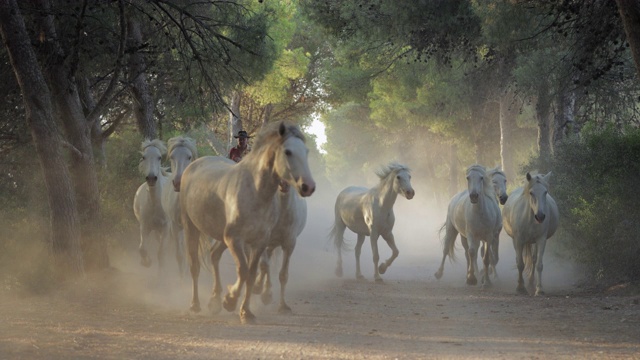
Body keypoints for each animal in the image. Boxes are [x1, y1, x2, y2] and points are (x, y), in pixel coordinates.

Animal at [132, 140, 169, 270]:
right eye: (144, 157)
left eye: (159, 157)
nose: (152, 178)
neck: (154, 203)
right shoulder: (144, 226)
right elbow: (142, 248)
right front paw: (146, 262)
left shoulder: (165, 227)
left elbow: (161, 252)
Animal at [180, 121, 316, 324]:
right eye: (288, 152)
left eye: (306, 151)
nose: (308, 186)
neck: (255, 192)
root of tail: (193, 165)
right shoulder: (236, 240)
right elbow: (243, 271)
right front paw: (230, 300)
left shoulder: (260, 242)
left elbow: (253, 274)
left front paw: (246, 311)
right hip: (191, 227)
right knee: (194, 265)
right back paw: (195, 305)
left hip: (221, 236)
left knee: (214, 255)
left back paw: (214, 301)